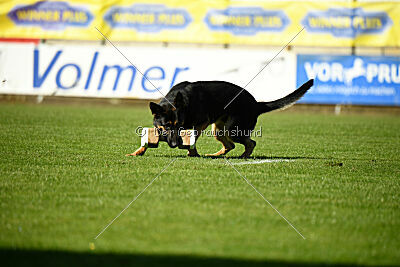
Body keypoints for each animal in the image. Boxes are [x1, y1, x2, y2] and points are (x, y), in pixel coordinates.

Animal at [126, 79, 314, 159]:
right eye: (165, 126)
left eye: (179, 126)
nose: (173, 145)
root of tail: (256, 104)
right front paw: (137, 152)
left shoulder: (201, 123)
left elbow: (193, 139)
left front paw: (192, 153)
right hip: (218, 130)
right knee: (230, 145)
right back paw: (216, 155)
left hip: (233, 130)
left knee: (250, 143)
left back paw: (243, 157)